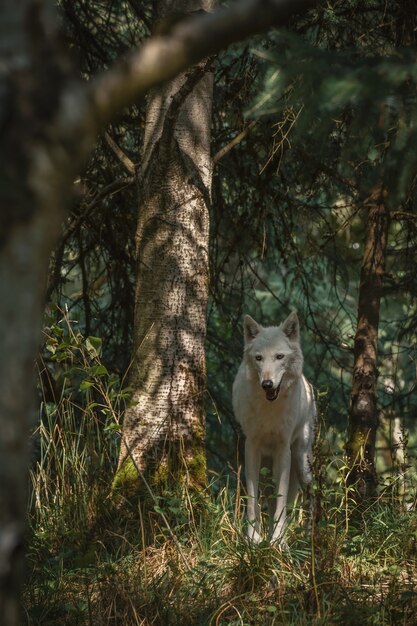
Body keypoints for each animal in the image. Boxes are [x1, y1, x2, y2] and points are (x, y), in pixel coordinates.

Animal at [231, 310, 316, 540]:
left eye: (279, 357)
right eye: (259, 358)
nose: (267, 384)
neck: (270, 410)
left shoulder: (283, 450)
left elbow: (281, 499)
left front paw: (278, 540)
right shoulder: (251, 447)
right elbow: (253, 500)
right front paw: (253, 539)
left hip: (301, 461)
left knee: (310, 495)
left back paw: (309, 537)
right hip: (267, 467)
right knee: (267, 500)